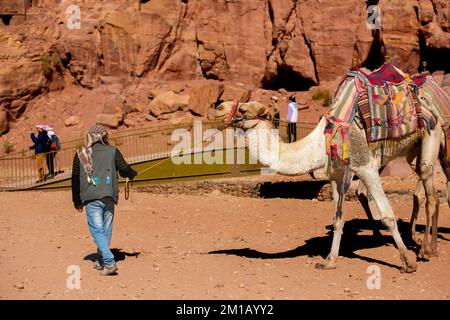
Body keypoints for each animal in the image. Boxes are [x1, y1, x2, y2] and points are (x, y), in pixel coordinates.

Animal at [223, 77, 444, 272]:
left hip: (432, 134)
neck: (322, 142)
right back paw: (427, 246)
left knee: (430, 192)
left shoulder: (366, 167)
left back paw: (425, 251)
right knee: (429, 191)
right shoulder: (337, 175)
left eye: (243, 109)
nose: (219, 107)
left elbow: (388, 216)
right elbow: (338, 218)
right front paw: (329, 261)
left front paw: (408, 262)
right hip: (412, 151)